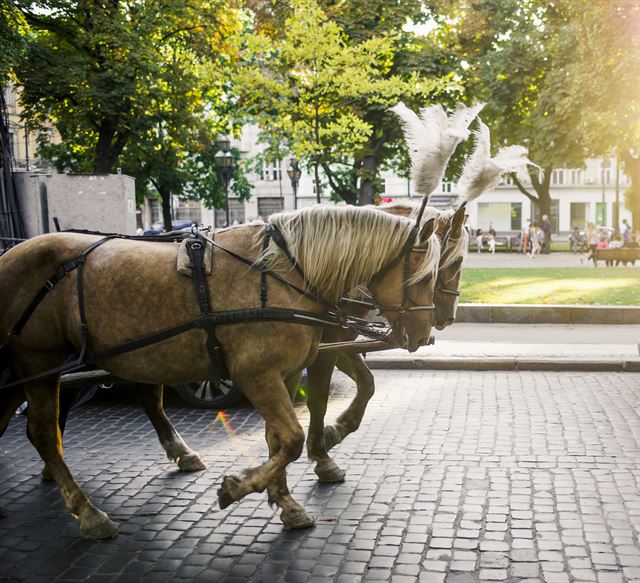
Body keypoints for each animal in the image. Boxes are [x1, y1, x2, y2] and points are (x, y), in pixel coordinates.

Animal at [0, 204, 440, 540]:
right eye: (425, 275)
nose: (425, 333)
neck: (280, 274)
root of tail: (10, 255)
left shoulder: (281, 375)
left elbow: (278, 441)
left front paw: (285, 503)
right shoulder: (257, 375)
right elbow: (292, 440)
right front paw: (238, 488)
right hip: (39, 360)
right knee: (43, 432)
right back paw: (89, 513)